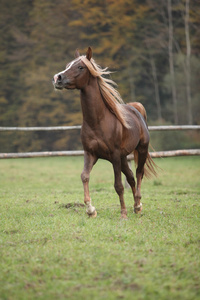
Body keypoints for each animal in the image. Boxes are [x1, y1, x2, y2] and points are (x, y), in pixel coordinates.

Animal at [52, 47, 155, 218]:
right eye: (68, 65)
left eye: (80, 67)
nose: (57, 78)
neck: (98, 121)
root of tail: (136, 109)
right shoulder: (91, 154)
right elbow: (84, 176)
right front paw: (90, 210)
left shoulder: (114, 155)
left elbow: (118, 185)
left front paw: (123, 213)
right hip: (123, 158)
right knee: (131, 178)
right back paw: (136, 206)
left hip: (141, 150)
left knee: (139, 173)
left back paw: (138, 205)